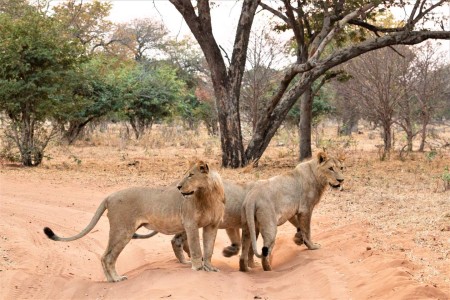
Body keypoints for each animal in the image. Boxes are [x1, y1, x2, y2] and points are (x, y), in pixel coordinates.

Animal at [42, 161, 225, 282]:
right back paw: (116, 279)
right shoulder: (190, 224)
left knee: (105, 256)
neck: (208, 195)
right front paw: (198, 269)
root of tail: (110, 196)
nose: (179, 187)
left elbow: (209, 249)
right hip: (122, 230)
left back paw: (111, 280)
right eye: (186, 174)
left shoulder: (212, 226)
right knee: (107, 256)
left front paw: (210, 268)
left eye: (191, 175)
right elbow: (196, 249)